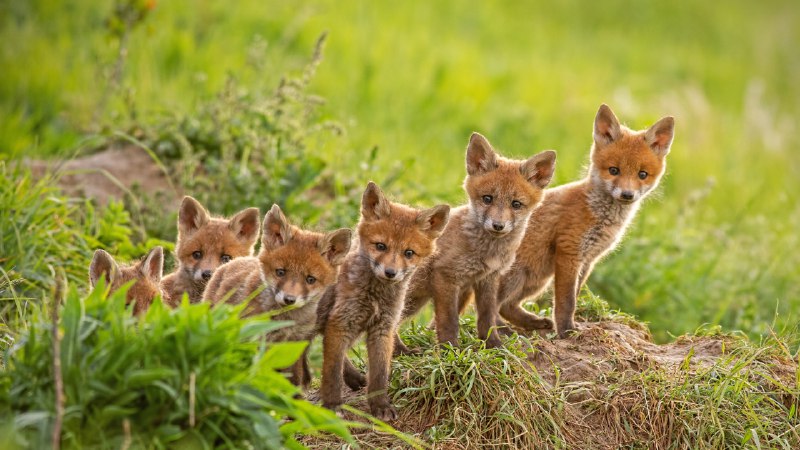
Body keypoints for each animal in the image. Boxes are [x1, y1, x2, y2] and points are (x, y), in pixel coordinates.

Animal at [203, 204, 352, 386]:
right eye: (280, 272)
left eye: (310, 279)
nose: (289, 299)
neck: (285, 322)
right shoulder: (258, 339)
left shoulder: (296, 342)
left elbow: (294, 379)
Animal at [318, 181, 449, 420]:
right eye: (380, 246)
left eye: (409, 252)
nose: (390, 273)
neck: (376, 297)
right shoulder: (340, 322)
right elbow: (331, 372)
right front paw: (331, 405)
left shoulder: (383, 328)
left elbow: (380, 374)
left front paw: (380, 405)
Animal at [395, 132, 556, 352]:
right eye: (487, 199)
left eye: (516, 204)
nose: (498, 225)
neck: (487, 252)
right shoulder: (445, 276)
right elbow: (449, 321)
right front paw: (450, 349)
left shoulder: (488, 279)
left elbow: (487, 319)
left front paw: (494, 345)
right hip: (412, 297)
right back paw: (401, 351)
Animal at [494, 104, 675, 338]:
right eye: (614, 170)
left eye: (642, 174)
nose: (627, 195)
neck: (599, 216)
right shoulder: (569, 251)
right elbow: (567, 301)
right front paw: (567, 332)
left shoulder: (588, 260)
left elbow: (575, 294)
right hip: (518, 275)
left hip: (535, 279)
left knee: (507, 306)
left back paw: (532, 323)